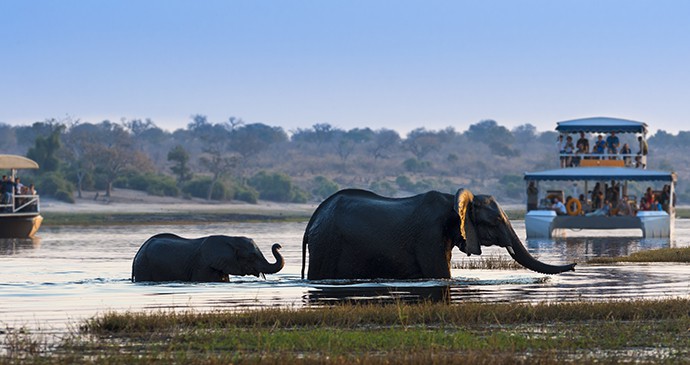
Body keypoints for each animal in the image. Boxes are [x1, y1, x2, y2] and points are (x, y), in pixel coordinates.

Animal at [300, 188, 576, 278]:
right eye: (496, 220)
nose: (574, 265)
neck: (453, 200)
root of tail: (313, 218)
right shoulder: (428, 235)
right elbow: (441, 274)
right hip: (327, 243)